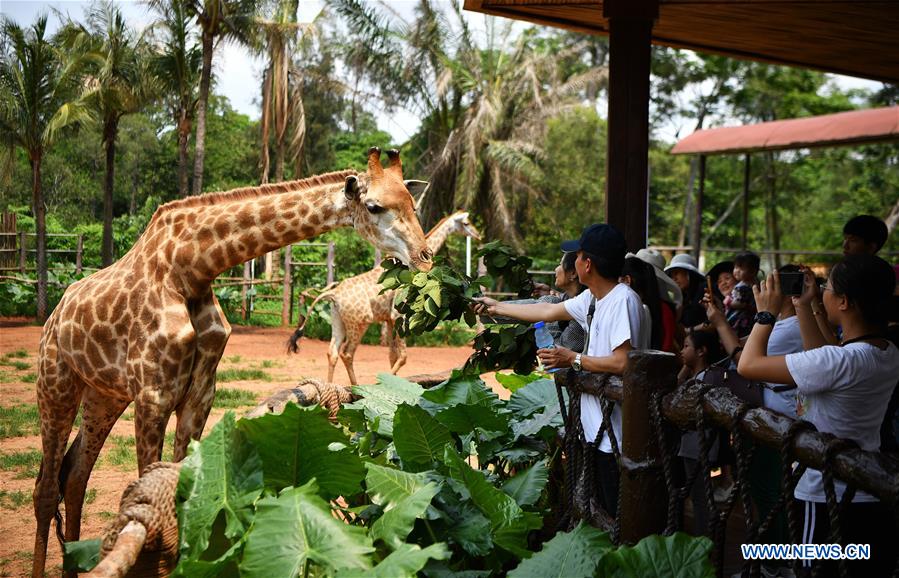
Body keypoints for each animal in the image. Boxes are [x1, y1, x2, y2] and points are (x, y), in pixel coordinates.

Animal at [31, 146, 432, 572]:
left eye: (412, 203)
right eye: (374, 207)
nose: (425, 257)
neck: (190, 268)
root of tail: (55, 314)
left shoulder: (199, 394)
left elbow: (186, 493)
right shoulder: (154, 394)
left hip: (104, 394)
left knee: (75, 475)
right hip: (56, 382)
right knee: (45, 488)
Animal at [290, 208, 482, 382]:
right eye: (466, 223)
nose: (478, 235)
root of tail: (333, 294)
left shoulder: (389, 319)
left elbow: (392, 355)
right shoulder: (398, 314)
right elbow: (403, 357)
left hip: (338, 320)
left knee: (333, 352)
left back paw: (330, 387)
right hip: (359, 322)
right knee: (347, 353)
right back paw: (355, 387)